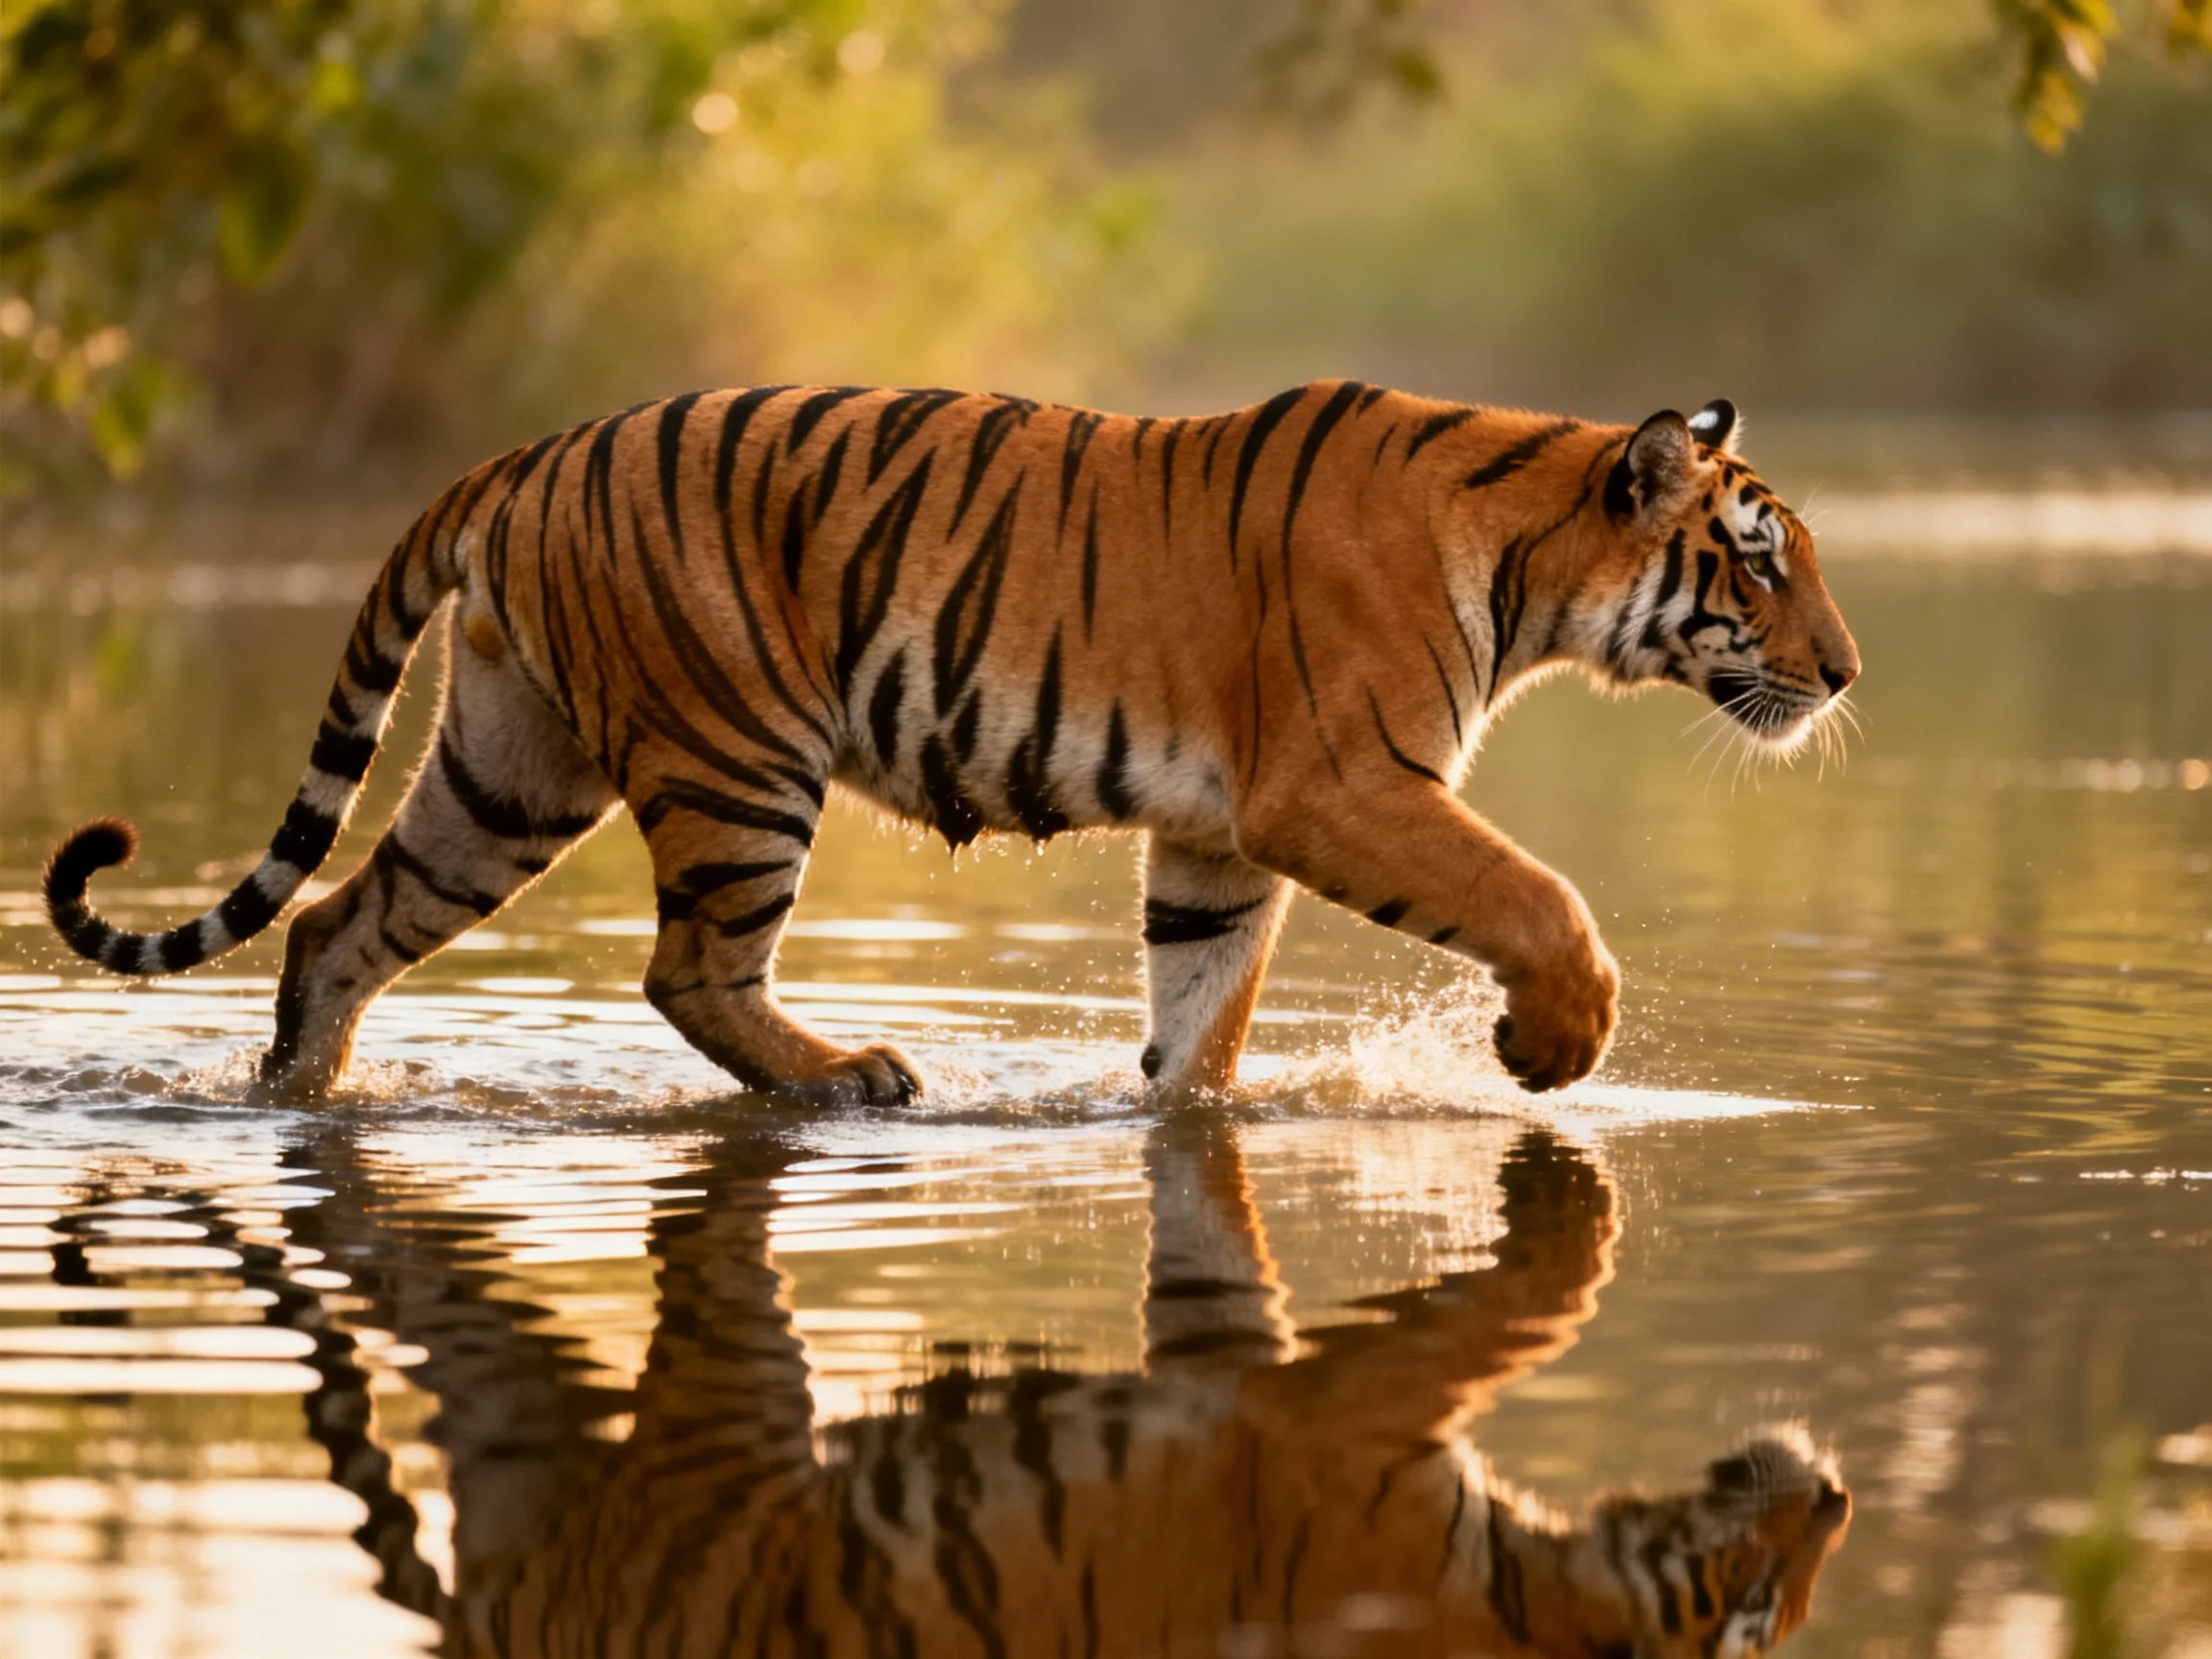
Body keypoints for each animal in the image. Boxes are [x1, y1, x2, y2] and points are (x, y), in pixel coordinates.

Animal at [43, 382, 1860, 1103]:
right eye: (1760, 562)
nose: (1845, 675)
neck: (1533, 555)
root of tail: (524, 453)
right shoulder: (1340, 784)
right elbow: (1538, 897)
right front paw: (1551, 1047)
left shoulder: (1216, 833)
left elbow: (1199, 1008)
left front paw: (1173, 1111)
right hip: (737, 757)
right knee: (686, 972)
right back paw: (853, 1075)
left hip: (507, 767)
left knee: (339, 924)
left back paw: (298, 1092)